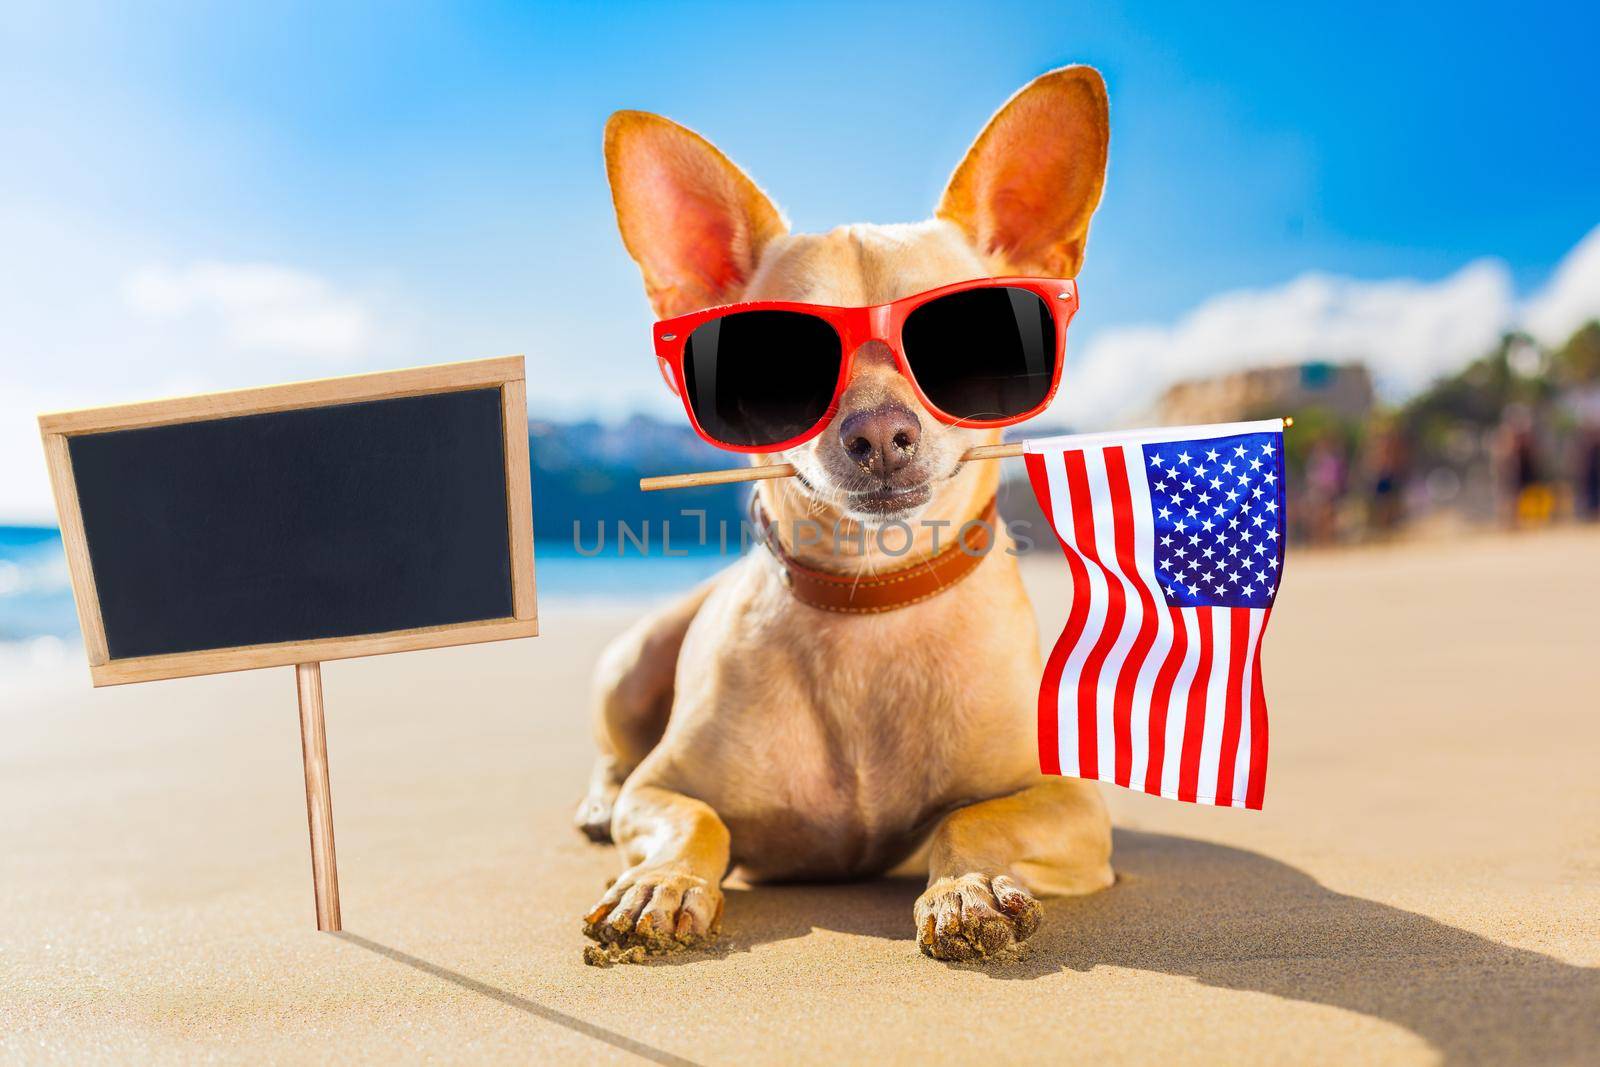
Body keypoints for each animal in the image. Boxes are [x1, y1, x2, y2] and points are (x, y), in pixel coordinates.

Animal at [582, 66, 1120, 966]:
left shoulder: (1075, 808)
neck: (871, 598)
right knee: (614, 757)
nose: (877, 432)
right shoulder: (663, 789)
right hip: (632, 665)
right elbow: (695, 818)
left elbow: (972, 816)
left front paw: (965, 887)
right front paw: (662, 883)